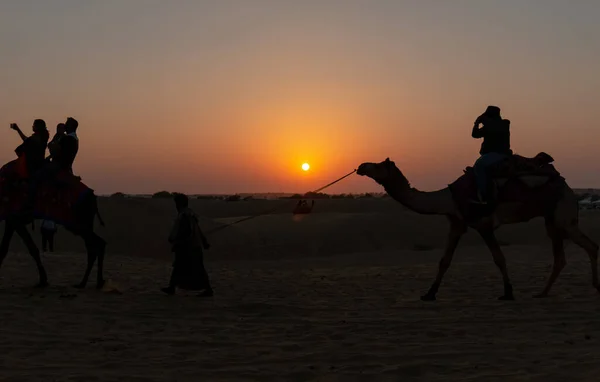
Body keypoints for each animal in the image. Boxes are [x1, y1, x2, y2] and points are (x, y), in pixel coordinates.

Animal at [0, 161, 106, 290]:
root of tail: (93, 197)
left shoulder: (14, 218)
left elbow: (21, 248)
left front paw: (43, 281)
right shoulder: (13, 220)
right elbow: (14, 248)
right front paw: (43, 280)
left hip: (78, 222)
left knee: (96, 245)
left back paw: (88, 283)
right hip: (82, 223)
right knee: (96, 245)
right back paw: (92, 282)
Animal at [358, 157, 596, 300]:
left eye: (378, 165)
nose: (361, 166)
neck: (448, 198)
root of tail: (568, 188)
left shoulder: (483, 224)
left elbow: (499, 258)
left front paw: (508, 293)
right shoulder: (457, 223)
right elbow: (444, 261)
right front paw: (429, 294)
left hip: (564, 216)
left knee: (590, 245)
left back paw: (596, 284)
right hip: (552, 219)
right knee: (561, 257)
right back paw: (542, 293)